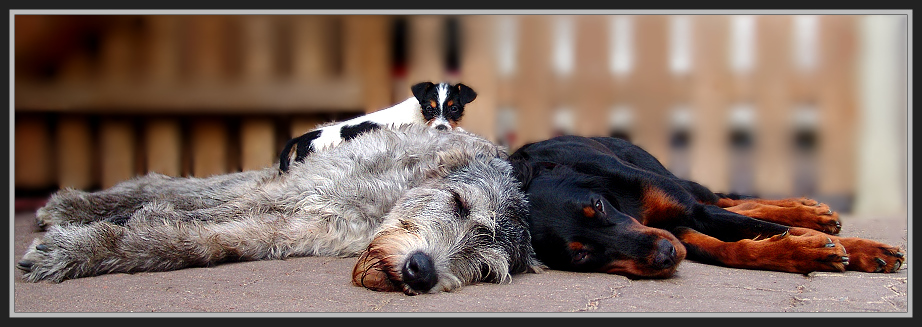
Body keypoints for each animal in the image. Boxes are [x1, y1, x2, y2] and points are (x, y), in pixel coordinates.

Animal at [16, 126, 540, 298]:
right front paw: (78, 243)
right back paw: (74, 205)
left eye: (484, 270)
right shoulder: (302, 190)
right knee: (175, 187)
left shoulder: (299, 227)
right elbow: (185, 205)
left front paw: (85, 249)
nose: (421, 272)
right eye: (458, 203)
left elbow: (193, 240)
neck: (383, 204)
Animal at [510, 136, 904, 280]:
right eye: (580, 255)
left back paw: (810, 211)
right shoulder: (680, 231)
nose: (666, 254)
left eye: (598, 205)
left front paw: (868, 249)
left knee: (726, 199)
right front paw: (807, 252)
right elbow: (733, 249)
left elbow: (751, 221)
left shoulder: (688, 214)